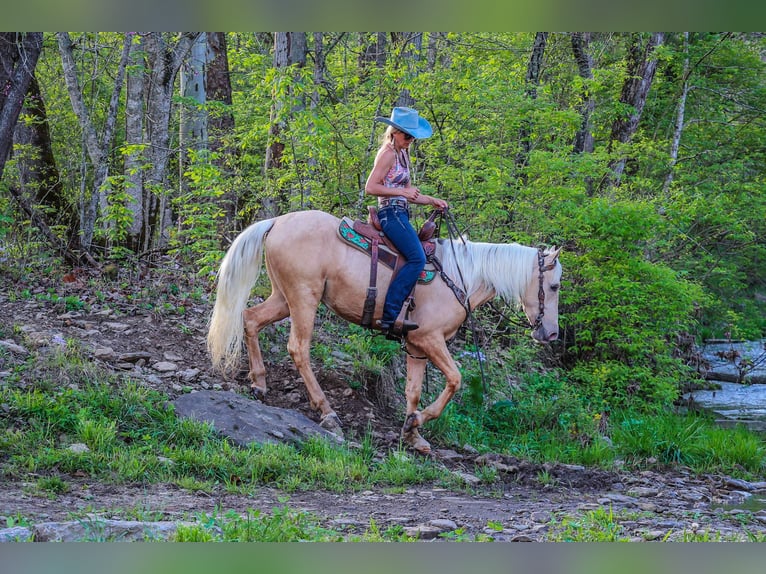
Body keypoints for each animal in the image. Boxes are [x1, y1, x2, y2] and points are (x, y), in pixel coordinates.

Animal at [207, 209, 560, 456]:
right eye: (555, 286)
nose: (552, 336)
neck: (462, 276)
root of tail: (277, 222)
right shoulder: (430, 339)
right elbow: (455, 379)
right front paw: (417, 423)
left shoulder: (416, 346)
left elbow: (413, 391)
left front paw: (412, 434)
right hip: (304, 298)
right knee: (298, 348)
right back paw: (326, 411)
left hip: (284, 297)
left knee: (250, 319)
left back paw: (259, 383)